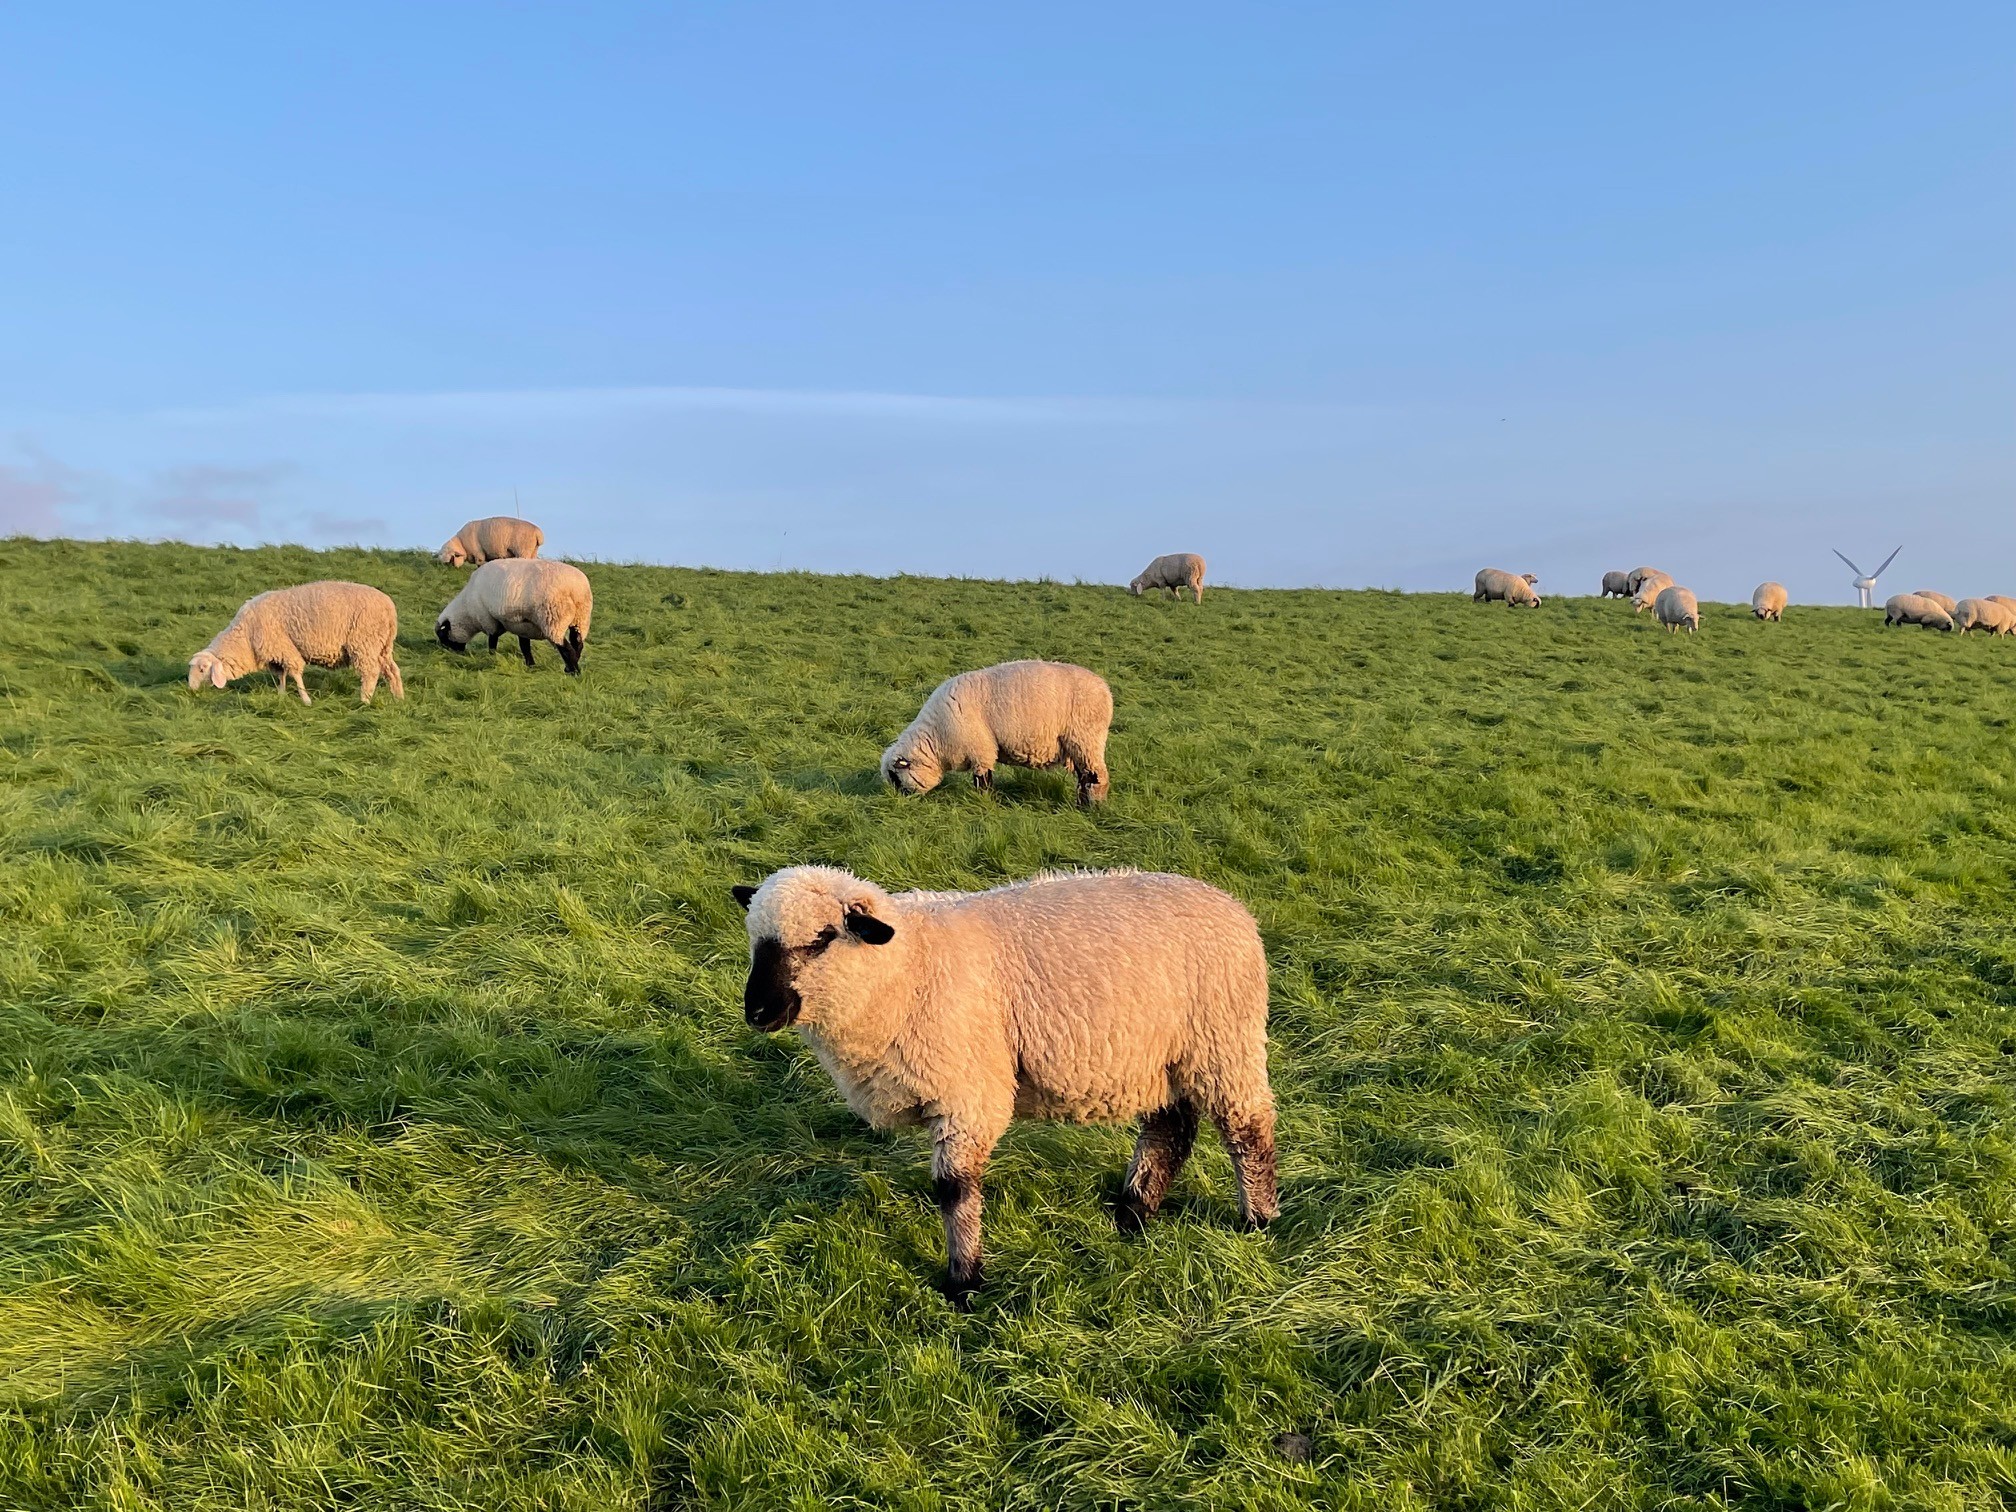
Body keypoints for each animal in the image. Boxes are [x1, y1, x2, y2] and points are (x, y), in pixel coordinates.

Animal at [187, 581, 403, 706]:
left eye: (202, 669)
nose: (191, 689)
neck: (245, 637)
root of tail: (389, 607)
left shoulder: (283, 647)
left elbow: (296, 673)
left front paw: (306, 700)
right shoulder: (276, 655)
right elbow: (281, 676)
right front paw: (281, 696)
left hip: (364, 642)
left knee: (370, 672)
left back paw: (364, 701)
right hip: (382, 646)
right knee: (392, 670)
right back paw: (398, 697)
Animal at [435, 558, 593, 673]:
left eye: (443, 636)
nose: (451, 654)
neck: (467, 610)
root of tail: (576, 588)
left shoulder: (489, 619)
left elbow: (492, 641)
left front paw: (492, 657)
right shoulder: (520, 626)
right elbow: (524, 646)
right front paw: (530, 665)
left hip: (553, 619)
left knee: (566, 648)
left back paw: (574, 672)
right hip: (581, 618)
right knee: (577, 644)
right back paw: (571, 667)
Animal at [731, 865, 1276, 1304]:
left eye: (822, 938)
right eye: (755, 940)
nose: (757, 1012)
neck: (908, 966)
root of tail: (1233, 907)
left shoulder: (969, 1095)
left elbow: (953, 1190)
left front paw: (964, 1283)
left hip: (1223, 1042)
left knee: (1248, 1129)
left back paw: (1256, 1221)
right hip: (1162, 1060)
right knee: (1170, 1132)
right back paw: (1134, 1213)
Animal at [882, 659, 1111, 804]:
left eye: (896, 777)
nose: (900, 803)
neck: (936, 739)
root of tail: (1105, 690)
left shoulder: (980, 750)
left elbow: (983, 781)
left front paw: (985, 802)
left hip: (1085, 738)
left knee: (1096, 776)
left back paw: (1091, 806)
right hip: (1079, 745)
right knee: (1084, 775)